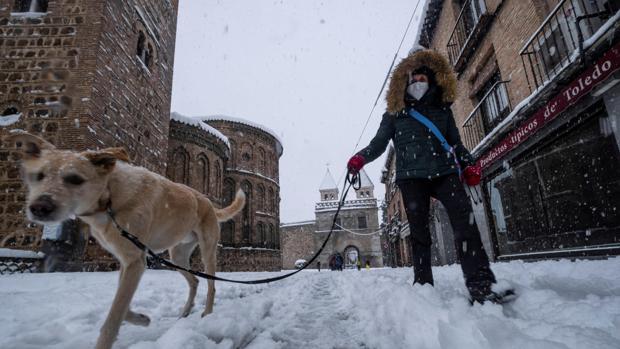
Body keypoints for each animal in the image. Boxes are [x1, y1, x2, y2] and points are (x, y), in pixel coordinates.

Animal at [6, 130, 247, 348]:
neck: (110, 198)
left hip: (207, 251)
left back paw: (207, 313)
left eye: (75, 179)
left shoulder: (135, 261)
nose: (39, 208)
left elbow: (114, 316)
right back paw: (185, 312)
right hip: (177, 255)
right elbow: (121, 305)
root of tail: (208, 203)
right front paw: (141, 319)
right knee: (195, 280)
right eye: (38, 176)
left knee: (211, 284)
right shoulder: (127, 260)